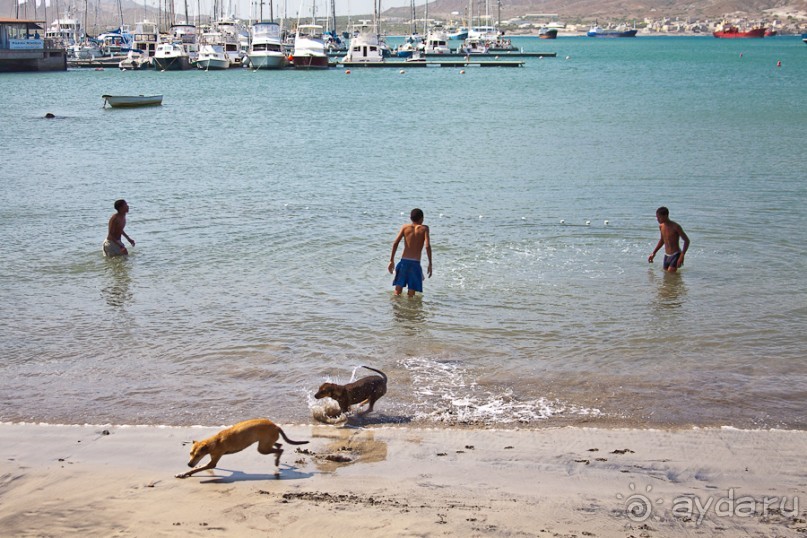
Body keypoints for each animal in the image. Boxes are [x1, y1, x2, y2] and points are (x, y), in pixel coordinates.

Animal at [177, 414, 310, 478]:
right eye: (190, 453)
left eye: (198, 455)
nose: (188, 464)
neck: (214, 442)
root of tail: (276, 426)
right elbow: (201, 466)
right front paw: (194, 468)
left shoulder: (213, 461)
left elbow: (199, 468)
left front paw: (184, 473)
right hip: (265, 443)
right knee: (279, 445)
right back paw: (277, 458)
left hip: (262, 448)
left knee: (280, 449)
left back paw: (277, 461)